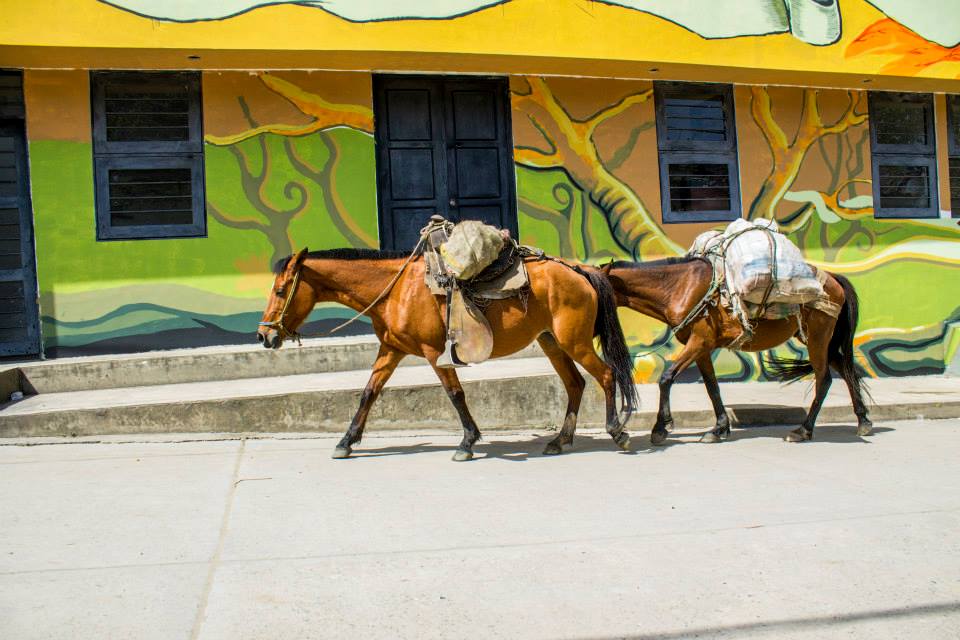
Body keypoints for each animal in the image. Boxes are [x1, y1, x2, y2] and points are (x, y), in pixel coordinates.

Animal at [257, 246, 639, 461]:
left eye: (280, 290)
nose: (264, 335)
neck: (396, 290)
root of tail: (580, 271)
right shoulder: (391, 350)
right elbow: (369, 392)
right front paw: (346, 441)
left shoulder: (433, 353)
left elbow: (455, 394)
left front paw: (467, 443)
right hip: (551, 342)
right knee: (575, 384)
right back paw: (560, 440)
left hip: (574, 342)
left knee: (606, 375)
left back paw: (617, 432)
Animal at [600, 257, 871, 445]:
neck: (680, 288)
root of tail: (833, 278)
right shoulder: (703, 348)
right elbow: (712, 387)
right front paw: (719, 428)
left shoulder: (699, 342)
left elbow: (667, 378)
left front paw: (660, 428)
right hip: (820, 340)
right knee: (846, 371)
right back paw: (863, 420)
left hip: (817, 339)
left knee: (824, 380)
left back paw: (803, 430)